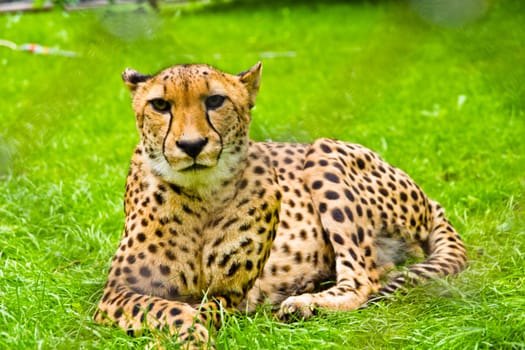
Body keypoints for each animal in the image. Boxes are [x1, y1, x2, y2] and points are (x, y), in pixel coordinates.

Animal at [94, 61, 466, 346]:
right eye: (160, 105)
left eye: (215, 100)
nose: (192, 145)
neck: (200, 196)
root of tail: (429, 199)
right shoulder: (116, 291)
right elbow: (167, 308)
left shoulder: (229, 293)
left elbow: (198, 308)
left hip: (322, 151)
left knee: (363, 278)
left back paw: (305, 303)